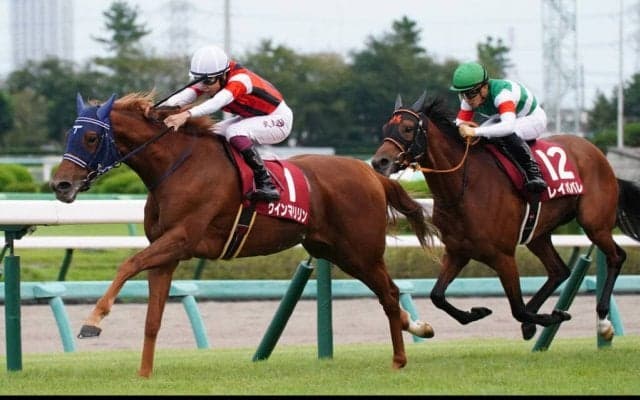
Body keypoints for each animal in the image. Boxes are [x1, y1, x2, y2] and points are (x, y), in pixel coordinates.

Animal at [49, 92, 440, 378]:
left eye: (91, 136)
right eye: (70, 134)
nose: (61, 184)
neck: (177, 167)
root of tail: (373, 174)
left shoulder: (181, 239)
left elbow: (127, 265)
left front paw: (92, 322)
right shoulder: (166, 253)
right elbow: (152, 319)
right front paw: (144, 374)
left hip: (362, 250)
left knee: (389, 294)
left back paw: (400, 358)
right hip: (335, 250)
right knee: (387, 294)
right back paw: (419, 327)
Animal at [370, 92, 640, 342]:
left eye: (407, 128)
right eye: (385, 128)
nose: (379, 162)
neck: (464, 187)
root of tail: (600, 156)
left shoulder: (503, 256)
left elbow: (518, 309)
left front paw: (552, 316)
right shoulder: (458, 251)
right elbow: (437, 296)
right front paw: (476, 312)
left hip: (594, 224)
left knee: (616, 256)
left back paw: (603, 321)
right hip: (537, 234)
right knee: (559, 270)